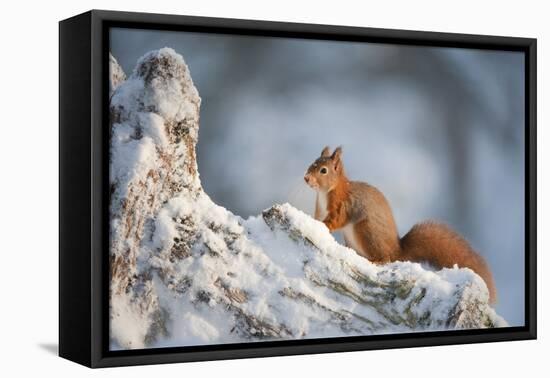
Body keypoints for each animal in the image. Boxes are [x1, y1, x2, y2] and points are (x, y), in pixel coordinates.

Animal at [304, 146, 498, 302]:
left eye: (323, 170)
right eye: (312, 163)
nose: (306, 178)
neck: (325, 192)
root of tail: (397, 251)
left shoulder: (342, 206)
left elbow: (336, 220)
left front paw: (324, 226)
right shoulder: (319, 209)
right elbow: (317, 217)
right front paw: (313, 221)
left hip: (366, 231)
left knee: (385, 258)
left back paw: (375, 261)